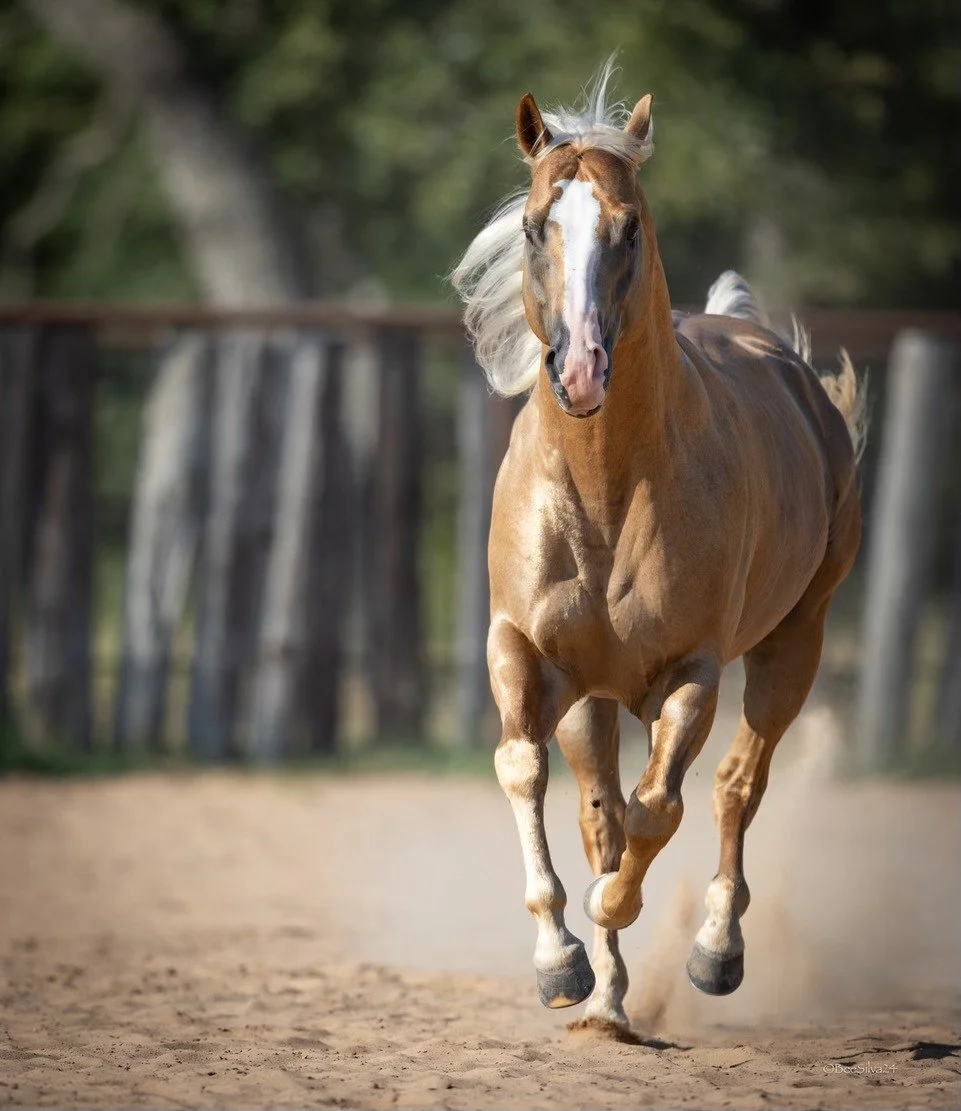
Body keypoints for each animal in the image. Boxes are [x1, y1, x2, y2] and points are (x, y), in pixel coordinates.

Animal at [452, 64, 865, 1032]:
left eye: (628, 224)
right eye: (534, 225)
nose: (579, 372)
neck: (606, 497)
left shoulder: (691, 671)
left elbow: (659, 810)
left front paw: (618, 918)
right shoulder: (524, 652)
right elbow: (532, 775)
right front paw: (564, 965)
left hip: (795, 640)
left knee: (735, 784)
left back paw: (713, 951)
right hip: (590, 697)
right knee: (601, 811)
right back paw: (605, 999)